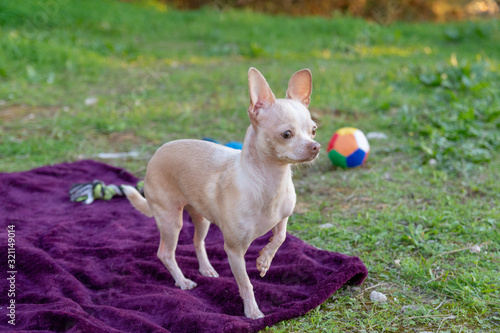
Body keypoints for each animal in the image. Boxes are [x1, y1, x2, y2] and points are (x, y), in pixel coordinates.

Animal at [121, 66, 320, 318]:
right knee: (165, 253)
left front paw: (264, 260)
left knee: (197, 241)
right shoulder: (234, 251)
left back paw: (206, 268)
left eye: (313, 130)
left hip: (201, 217)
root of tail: (157, 153)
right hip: (170, 220)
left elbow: (280, 236)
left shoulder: (283, 217)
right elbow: (246, 283)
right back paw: (183, 281)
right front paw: (252, 311)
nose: (316, 147)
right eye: (286, 134)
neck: (270, 183)